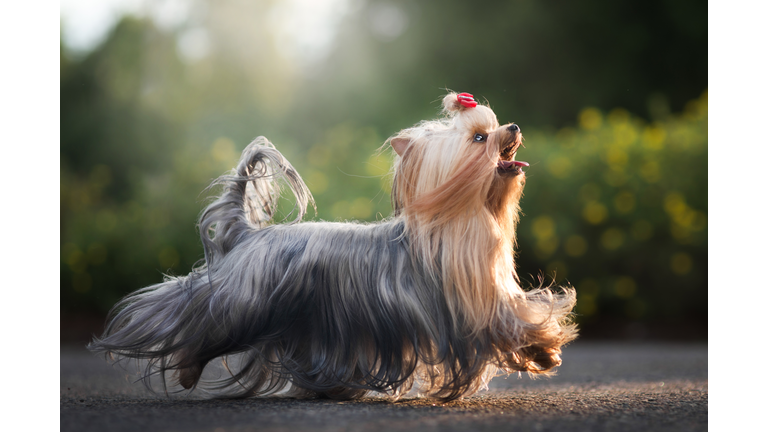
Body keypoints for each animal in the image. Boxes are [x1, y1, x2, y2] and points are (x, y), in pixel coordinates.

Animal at [88, 93, 576, 400]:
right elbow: (513, 321)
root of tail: (247, 234)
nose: (513, 126)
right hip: (241, 302)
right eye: (479, 138)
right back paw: (187, 368)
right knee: (188, 317)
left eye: (494, 127)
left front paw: (544, 349)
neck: (462, 217)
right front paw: (545, 347)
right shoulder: (474, 303)